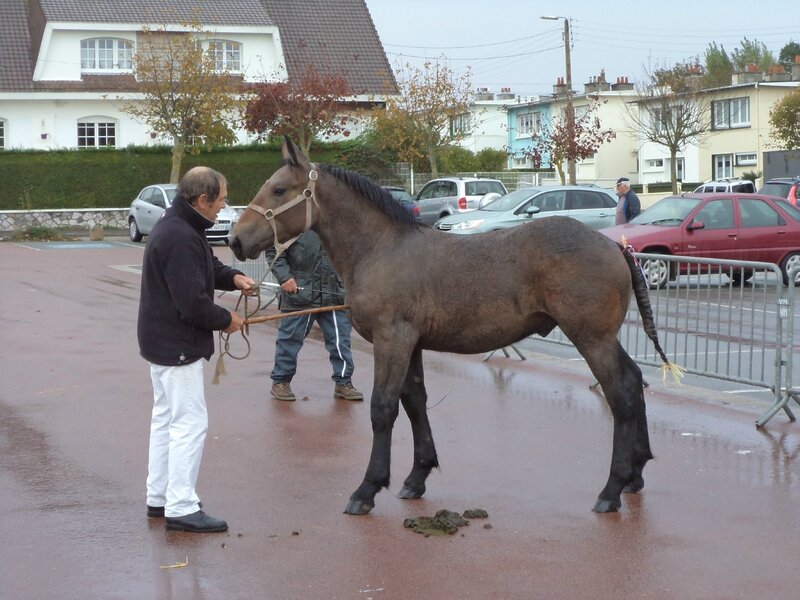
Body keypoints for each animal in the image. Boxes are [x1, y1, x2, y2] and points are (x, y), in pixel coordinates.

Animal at [231, 137, 676, 516]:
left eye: (279, 190)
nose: (235, 239)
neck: (382, 249)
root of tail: (616, 246)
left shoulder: (392, 340)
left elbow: (383, 409)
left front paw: (367, 489)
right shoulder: (411, 344)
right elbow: (414, 403)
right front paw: (416, 477)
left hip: (591, 338)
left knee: (621, 393)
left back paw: (611, 490)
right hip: (602, 338)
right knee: (634, 382)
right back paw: (635, 474)